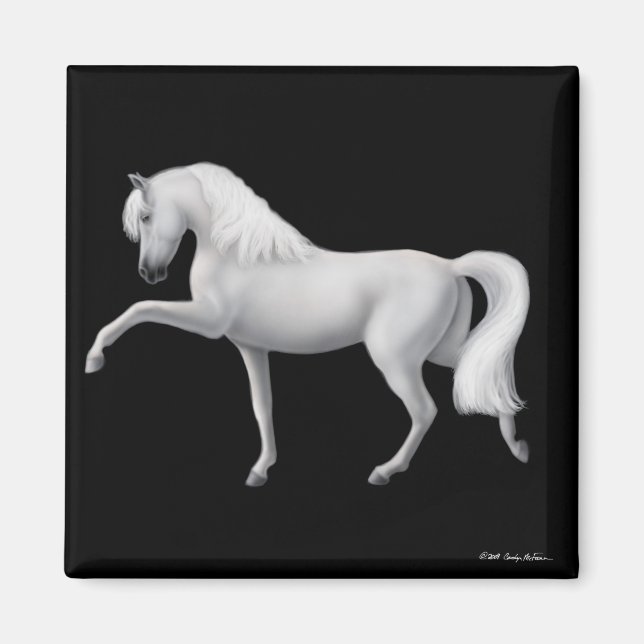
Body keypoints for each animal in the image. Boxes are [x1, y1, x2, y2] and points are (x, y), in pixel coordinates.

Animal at [85, 163, 530, 487]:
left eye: (146, 216)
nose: (149, 273)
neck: (238, 256)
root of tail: (450, 267)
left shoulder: (207, 320)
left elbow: (139, 309)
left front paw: (94, 358)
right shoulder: (251, 347)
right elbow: (262, 406)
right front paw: (260, 470)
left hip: (397, 360)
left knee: (425, 410)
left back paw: (384, 472)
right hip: (439, 350)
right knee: (483, 370)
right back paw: (518, 448)